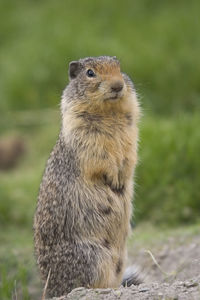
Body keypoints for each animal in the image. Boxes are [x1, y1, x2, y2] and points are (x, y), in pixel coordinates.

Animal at [33, 55, 141, 296]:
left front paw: (122, 177)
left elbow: (129, 155)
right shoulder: (84, 135)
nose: (118, 86)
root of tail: (50, 291)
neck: (109, 112)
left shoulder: (130, 132)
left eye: (119, 68)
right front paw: (113, 179)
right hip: (93, 257)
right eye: (90, 73)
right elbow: (100, 158)